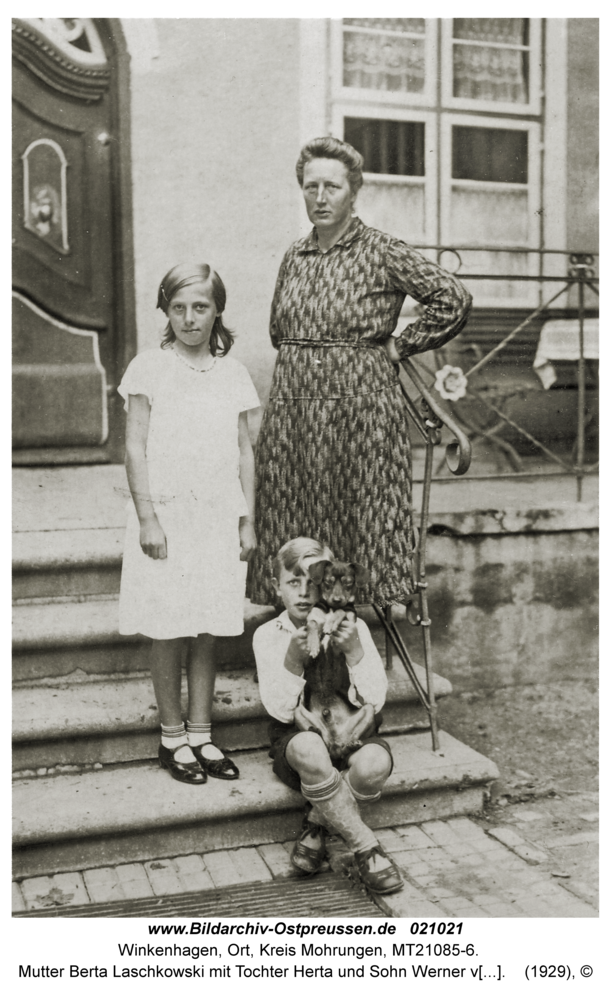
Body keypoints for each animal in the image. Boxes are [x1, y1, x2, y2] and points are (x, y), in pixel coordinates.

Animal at [294, 560, 376, 760]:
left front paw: (331, 623)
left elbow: (341, 613)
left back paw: (352, 743)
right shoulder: (313, 620)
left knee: (352, 740)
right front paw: (314, 644)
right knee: (321, 738)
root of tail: (335, 742)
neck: (329, 608)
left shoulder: (342, 635)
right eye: (328, 582)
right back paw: (316, 731)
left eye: (348, 583)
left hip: (369, 710)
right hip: (298, 711)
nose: (338, 599)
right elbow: (313, 623)